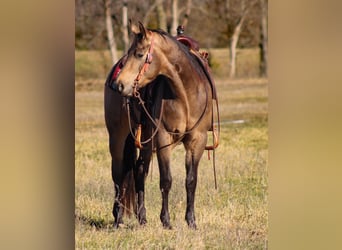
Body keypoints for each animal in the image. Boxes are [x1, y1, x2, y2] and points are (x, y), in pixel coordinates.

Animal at [104, 22, 219, 229]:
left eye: (139, 54)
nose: (119, 85)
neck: (185, 94)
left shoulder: (197, 140)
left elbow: (191, 181)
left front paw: (191, 221)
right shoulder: (164, 138)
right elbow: (166, 180)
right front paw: (166, 221)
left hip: (145, 139)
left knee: (139, 171)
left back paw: (142, 218)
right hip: (117, 138)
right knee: (118, 175)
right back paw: (118, 219)